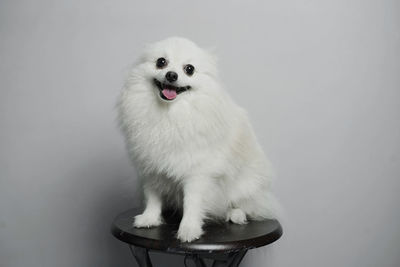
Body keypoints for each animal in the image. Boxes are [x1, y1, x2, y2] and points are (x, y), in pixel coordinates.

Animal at [116, 37, 278, 243]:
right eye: (161, 62)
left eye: (189, 69)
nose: (171, 75)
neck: (170, 114)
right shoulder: (151, 168)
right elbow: (153, 196)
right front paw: (149, 218)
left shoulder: (197, 174)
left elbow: (192, 203)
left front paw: (188, 229)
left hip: (246, 185)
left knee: (246, 204)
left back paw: (236, 214)